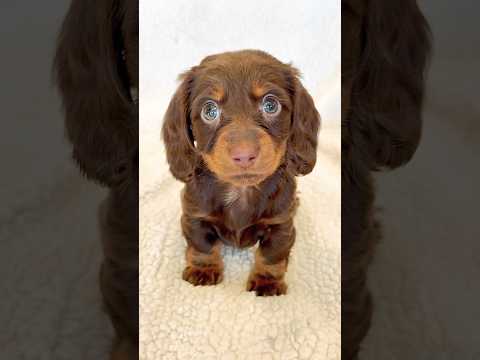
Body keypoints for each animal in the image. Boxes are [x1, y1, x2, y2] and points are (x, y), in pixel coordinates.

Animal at [163, 51, 320, 298]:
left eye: (270, 105)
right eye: (209, 111)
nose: (244, 155)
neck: (241, 193)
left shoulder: (281, 223)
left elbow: (272, 254)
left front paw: (267, 281)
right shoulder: (194, 215)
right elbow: (201, 244)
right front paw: (203, 269)